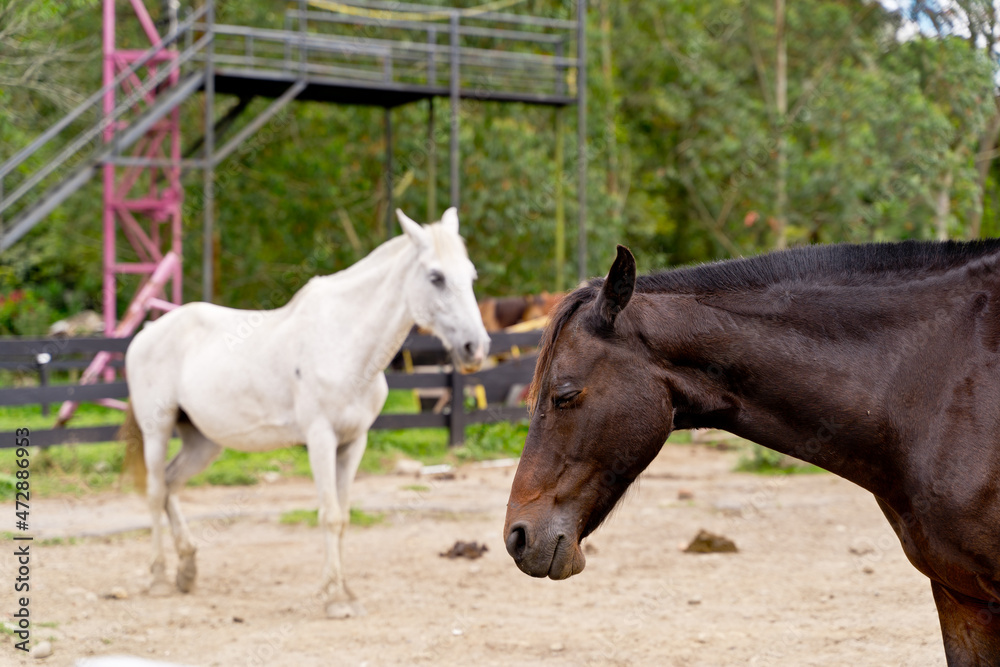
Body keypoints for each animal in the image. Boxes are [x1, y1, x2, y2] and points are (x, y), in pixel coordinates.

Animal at [122, 207, 489, 619]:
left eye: (470, 275)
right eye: (436, 277)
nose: (475, 348)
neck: (345, 344)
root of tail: (145, 334)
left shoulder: (353, 443)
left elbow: (343, 517)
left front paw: (345, 592)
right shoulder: (320, 439)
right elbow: (329, 515)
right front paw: (334, 599)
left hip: (203, 443)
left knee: (170, 485)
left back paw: (187, 570)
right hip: (157, 430)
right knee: (156, 491)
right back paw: (158, 578)